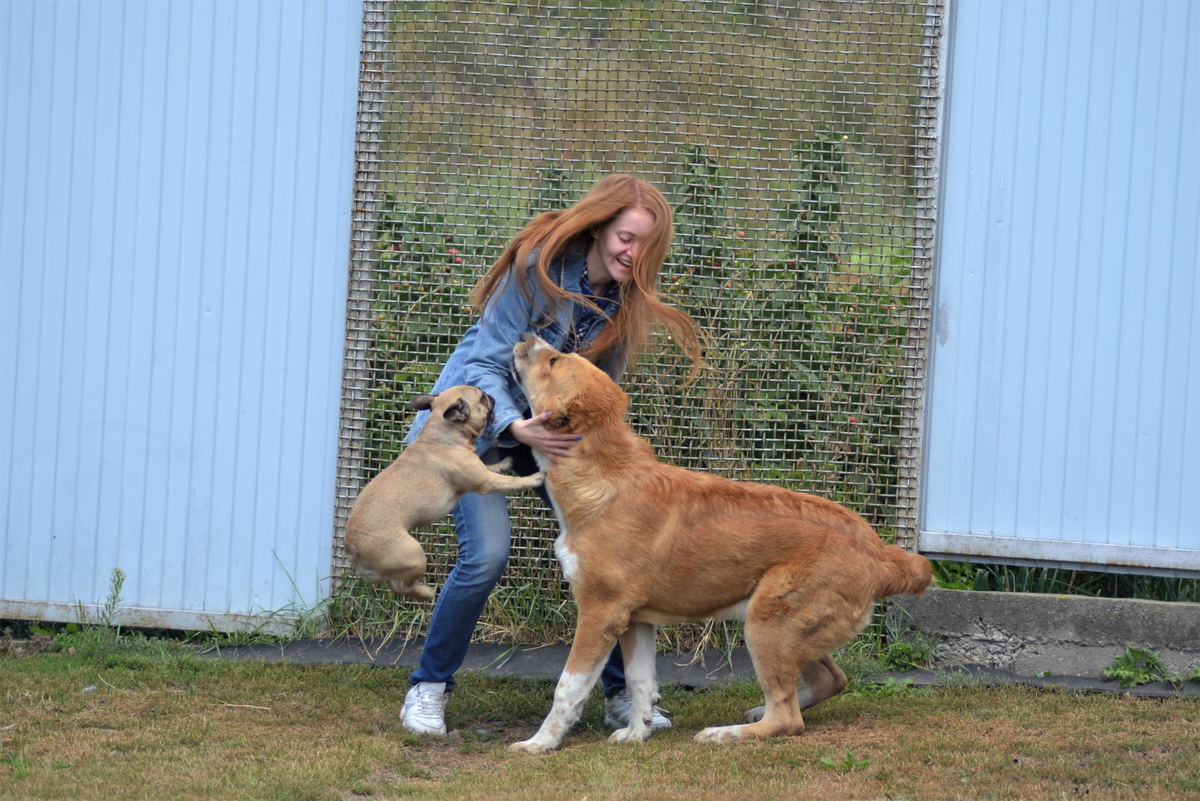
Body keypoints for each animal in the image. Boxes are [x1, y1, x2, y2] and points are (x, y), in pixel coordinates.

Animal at [340, 386, 542, 599]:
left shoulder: (481, 471)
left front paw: (504, 464)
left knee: (396, 585)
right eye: (482, 397)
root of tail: (352, 551)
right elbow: (511, 481)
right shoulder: (486, 482)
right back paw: (427, 592)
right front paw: (534, 478)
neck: (443, 434)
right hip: (414, 555)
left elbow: (492, 467)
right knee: (404, 587)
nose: (490, 395)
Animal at [506, 330, 936, 753]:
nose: (526, 333)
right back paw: (753, 712)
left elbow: (568, 687)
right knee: (830, 680)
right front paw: (636, 734)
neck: (601, 474)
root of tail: (880, 552)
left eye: (553, 361)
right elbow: (641, 684)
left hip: (766, 625)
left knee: (787, 718)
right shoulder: (635, 621)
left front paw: (539, 743)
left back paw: (726, 732)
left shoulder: (600, 614)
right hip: (786, 628)